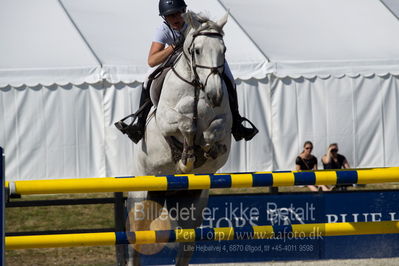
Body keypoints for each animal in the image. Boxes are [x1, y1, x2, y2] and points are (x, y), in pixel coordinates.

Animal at [129, 11, 231, 264]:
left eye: (223, 49)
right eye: (197, 50)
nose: (215, 95)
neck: (196, 85)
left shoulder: (225, 122)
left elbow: (213, 130)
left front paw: (207, 150)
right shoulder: (165, 119)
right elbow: (186, 125)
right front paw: (187, 158)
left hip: (191, 202)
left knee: (186, 244)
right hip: (144, 195)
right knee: (136, 236)